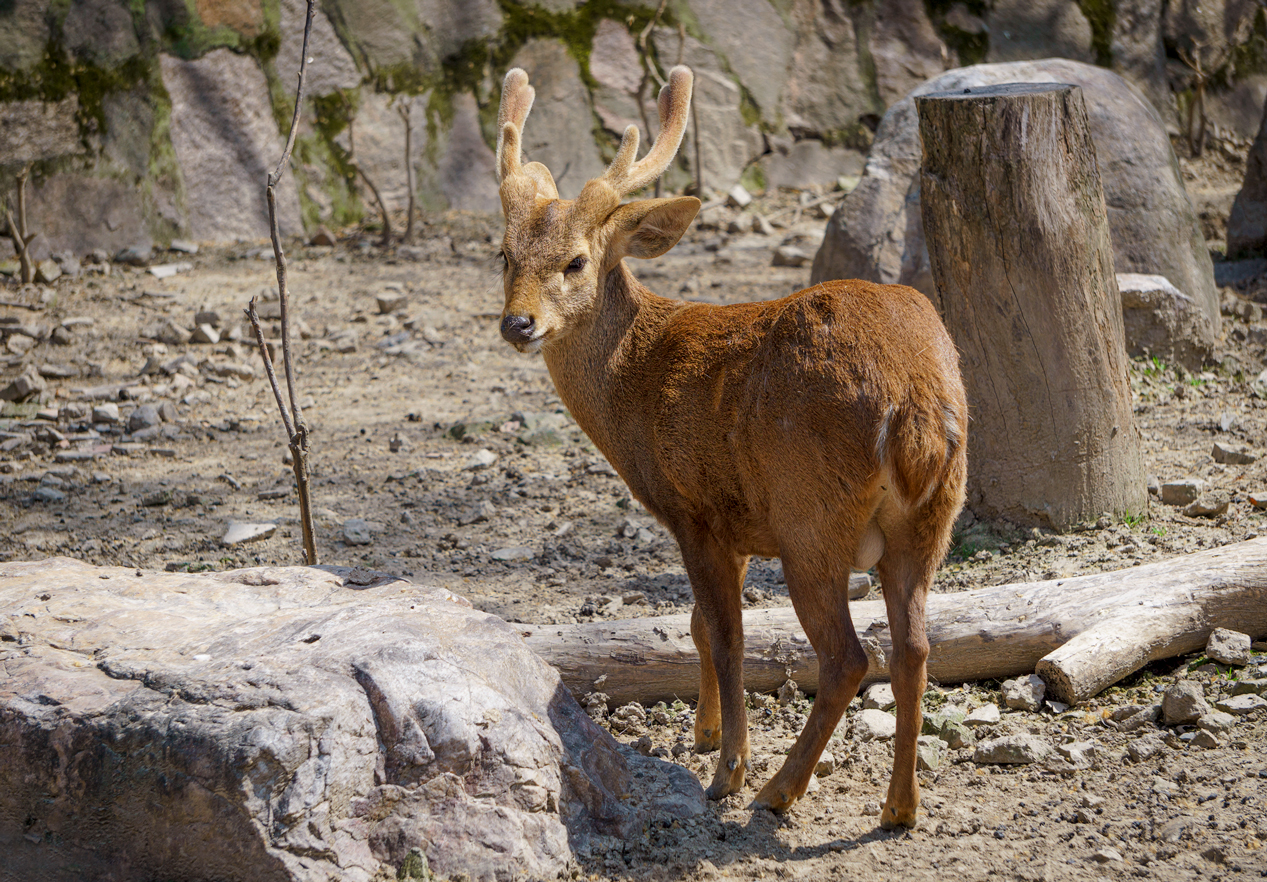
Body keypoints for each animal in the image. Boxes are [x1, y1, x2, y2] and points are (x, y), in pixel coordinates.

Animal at [494, 64, 967, 827]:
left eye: (575, 261)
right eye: (504, 255)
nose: (518, 323)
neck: (637, 380)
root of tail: (916, 407)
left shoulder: (694, 509)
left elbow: (725, 636)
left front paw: (726, 769)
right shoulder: (737, 523)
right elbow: (694, 626)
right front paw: (705, 732)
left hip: (812, 517)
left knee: (847, 657)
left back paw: (776, 791)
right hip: (932, 517)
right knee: (915, 647)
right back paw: (899, 807)